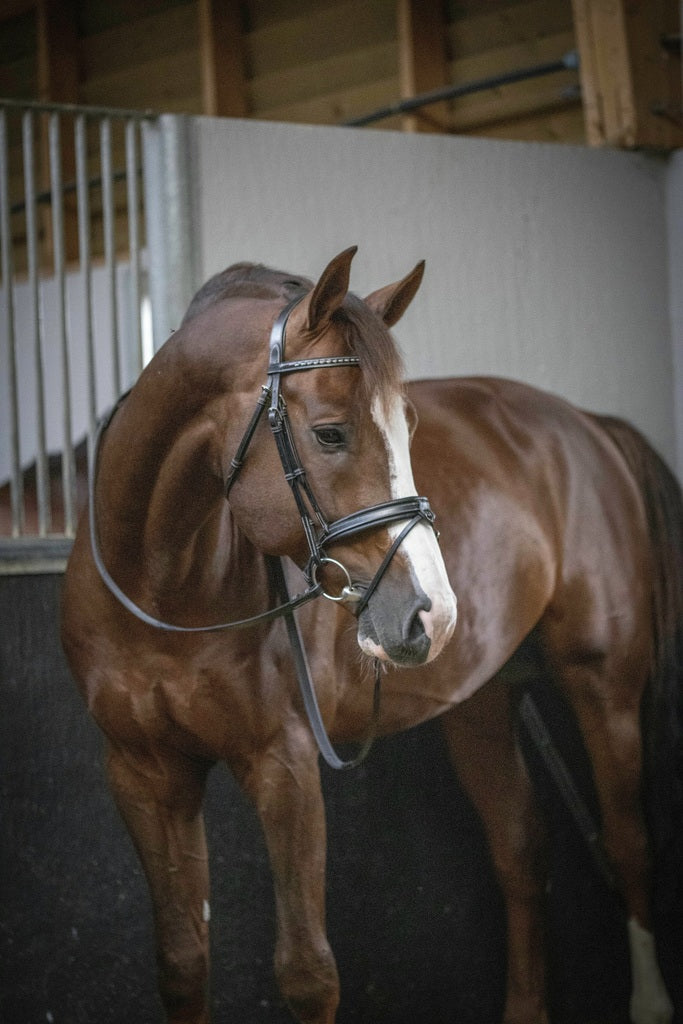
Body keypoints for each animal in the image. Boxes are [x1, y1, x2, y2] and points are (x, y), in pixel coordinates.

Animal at [61, 249, 679, 1024]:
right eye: (330, 432)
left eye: (408, 427)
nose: (432, 615)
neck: (161, 588)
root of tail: (589, 426)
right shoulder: (145, 773)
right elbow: (181, 962)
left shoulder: (286, 764)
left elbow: (306, 972)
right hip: (480, 703)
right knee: (519, 851)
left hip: (602, 684)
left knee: (629, 845)